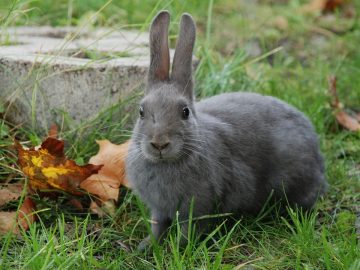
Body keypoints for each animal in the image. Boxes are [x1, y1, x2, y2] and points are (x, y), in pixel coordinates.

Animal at [126, 11, 330, 251]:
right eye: (141, 111)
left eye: (185, 112)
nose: (159, 143)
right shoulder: (159, 209)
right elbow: (157, 226)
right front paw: (147, 246)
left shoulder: (198, 207)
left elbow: (188, 231)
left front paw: (177, 248)